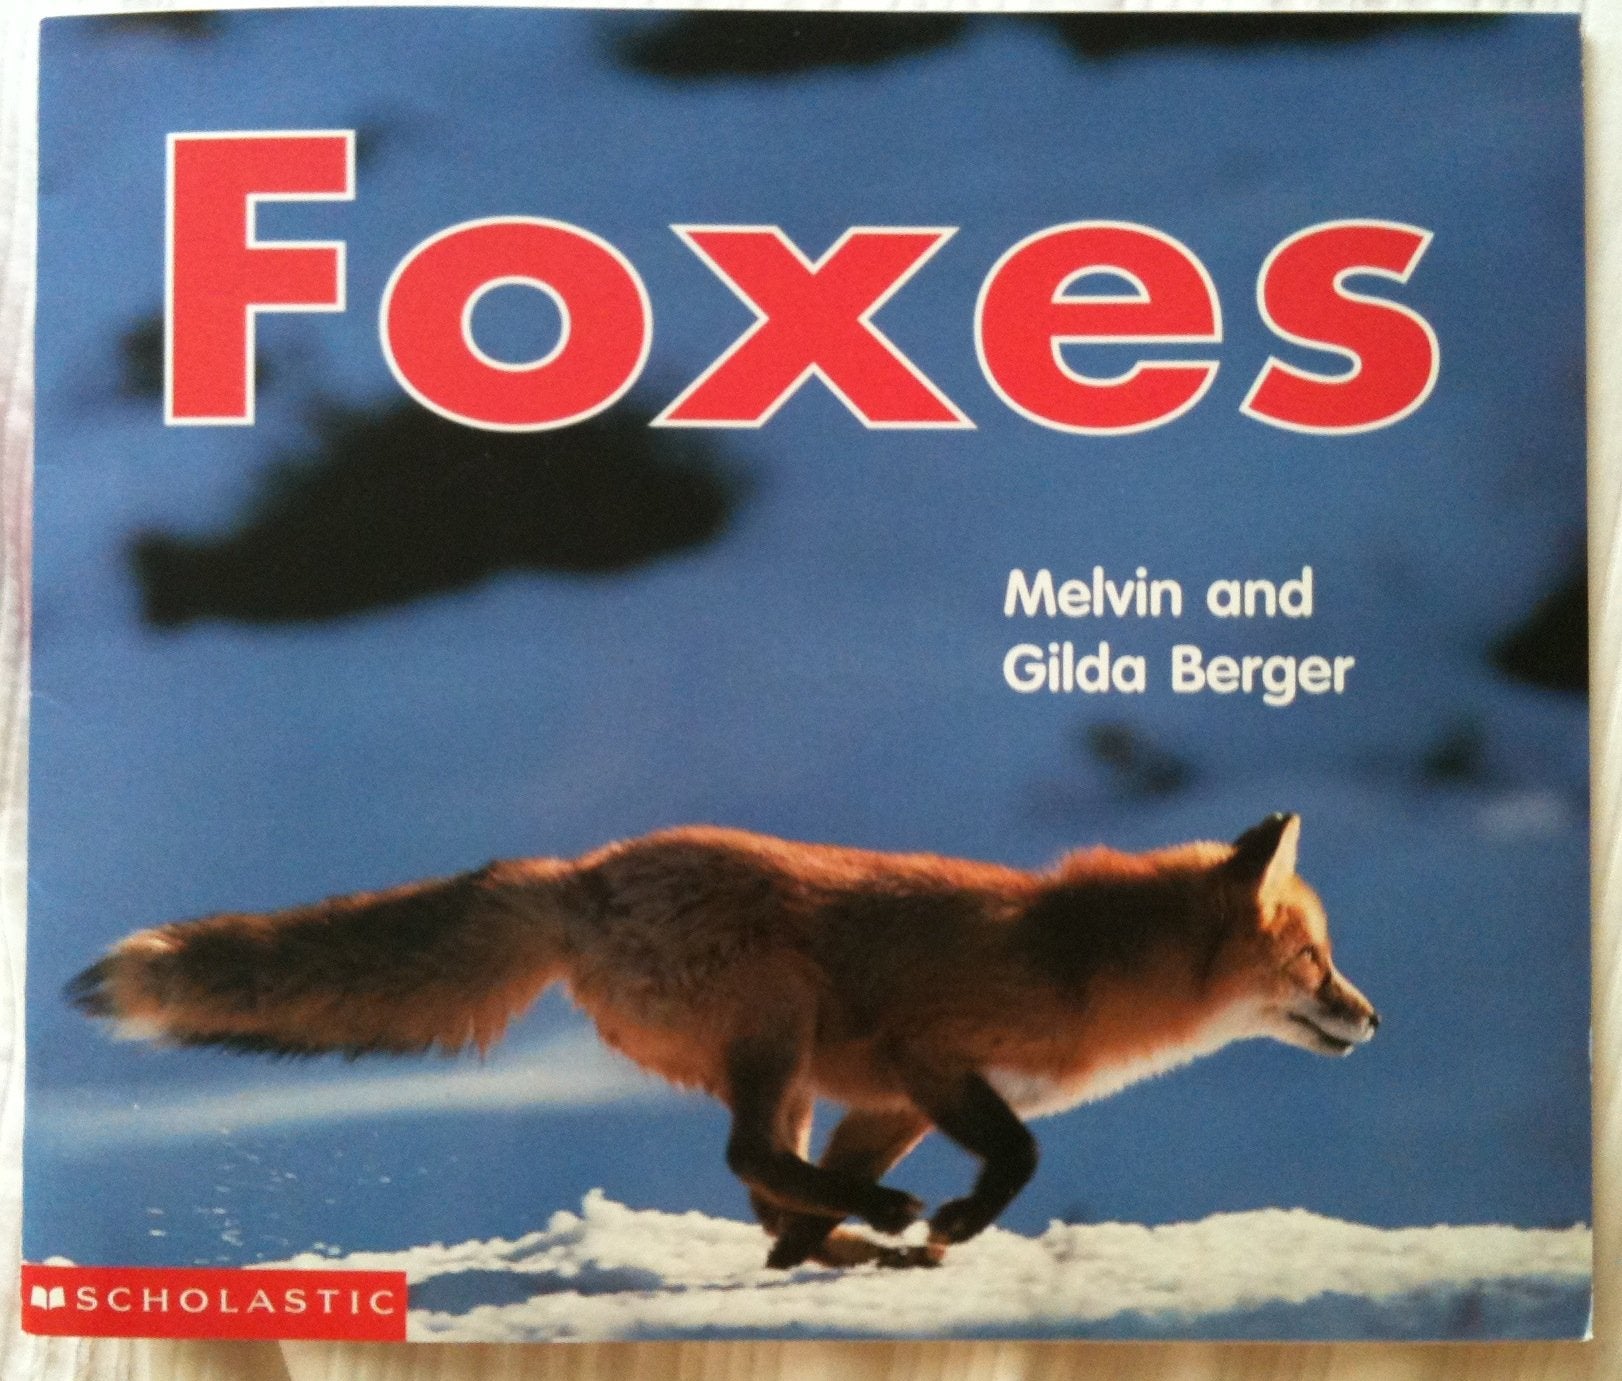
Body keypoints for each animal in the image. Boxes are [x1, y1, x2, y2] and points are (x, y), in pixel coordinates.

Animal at [69, 811, 1377, 1270]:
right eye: (1316, 963)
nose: (1373, 1016)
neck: (1077, 961)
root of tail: (582, 872)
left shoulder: (890, 1098)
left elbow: (825, 1187)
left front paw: (836, 1255)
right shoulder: (928, 1057)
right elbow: (1017, 1156)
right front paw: (944, 1224)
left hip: (786, 1063)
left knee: (761, 1176)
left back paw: (841, 1243)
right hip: (776, 1017)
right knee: (747, 1157)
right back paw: (876, 1227)